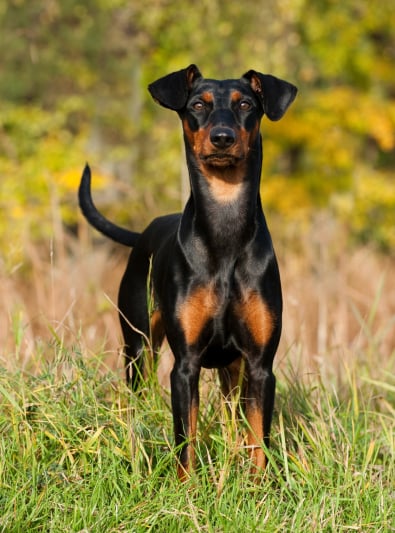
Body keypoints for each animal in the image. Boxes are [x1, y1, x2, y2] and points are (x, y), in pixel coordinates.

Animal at [79, 63, 298, 478]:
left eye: (246, 104)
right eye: (198, 104)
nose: (222, 138)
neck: (225, 231)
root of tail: (143, 233)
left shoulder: (260, 365)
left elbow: (257, 441)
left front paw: (259, 488)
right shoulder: (185, 365)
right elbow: (187, 441)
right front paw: (187, 488)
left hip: (232, 369)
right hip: (139, 345)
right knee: (136, 392)